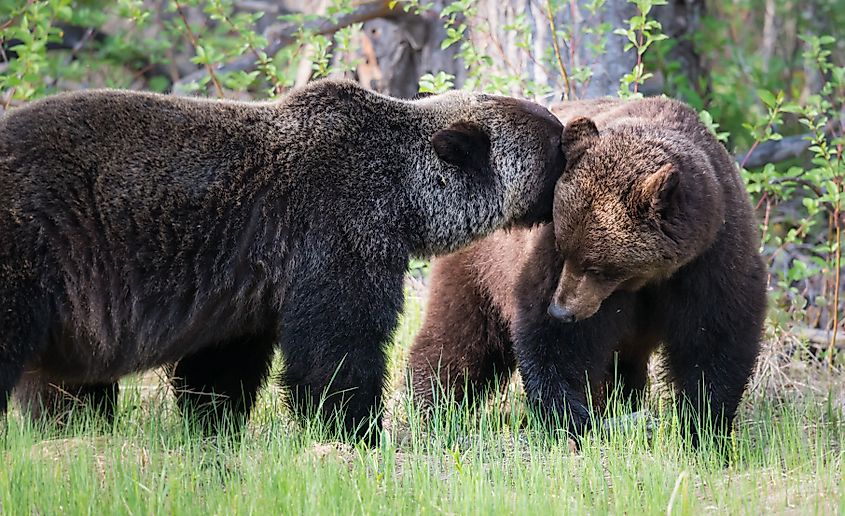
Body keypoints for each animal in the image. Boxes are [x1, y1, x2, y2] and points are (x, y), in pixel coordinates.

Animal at [0, 79, 566, 439]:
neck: (404, 196)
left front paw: (214, 424)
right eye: (557, 139)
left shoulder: (241, 287)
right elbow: (335, 347)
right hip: (34, 248)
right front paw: (356, 429)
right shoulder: (336, 233)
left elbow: (220, 365)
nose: (573, 131)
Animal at [408, 97, 767, 446]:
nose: (561, 309)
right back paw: (430, 407)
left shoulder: (711, 259)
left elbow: (714, 338)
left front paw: (705, 428)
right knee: (461, 337)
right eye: (565, 249)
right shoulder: (553, 262)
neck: (649, 277)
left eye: (596, 265)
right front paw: (569, 416)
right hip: (481, 266)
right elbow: (556, 341)